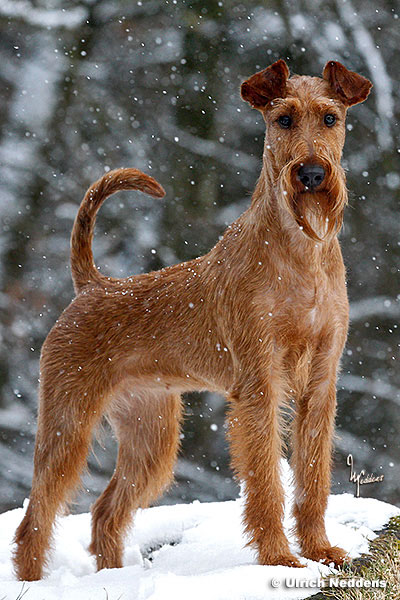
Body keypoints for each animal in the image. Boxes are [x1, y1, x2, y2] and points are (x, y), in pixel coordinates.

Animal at [14, 58, 374, 580]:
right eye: (283, 119)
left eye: (331, 118)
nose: (310, 173)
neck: (301, 253)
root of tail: (93, 285)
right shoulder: (259, 383)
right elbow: (266, 479)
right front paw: (279, 558)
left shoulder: (321, 383)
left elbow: (313, 476)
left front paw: (321, 550)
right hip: (69, 422)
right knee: (36, 519)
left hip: (151, 435)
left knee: (105, 512)